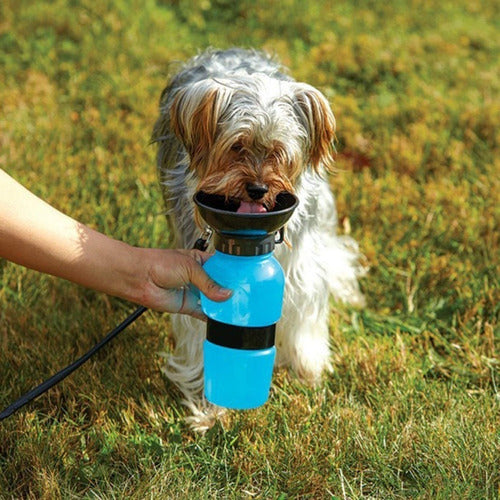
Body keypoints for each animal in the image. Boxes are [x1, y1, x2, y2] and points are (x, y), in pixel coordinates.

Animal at [150, 47, 366, 430]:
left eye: (279, 152)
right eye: (237, 147)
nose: (258, 188)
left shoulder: (300, 267)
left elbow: (304, 314)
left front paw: (307, 373)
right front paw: (209, 410)